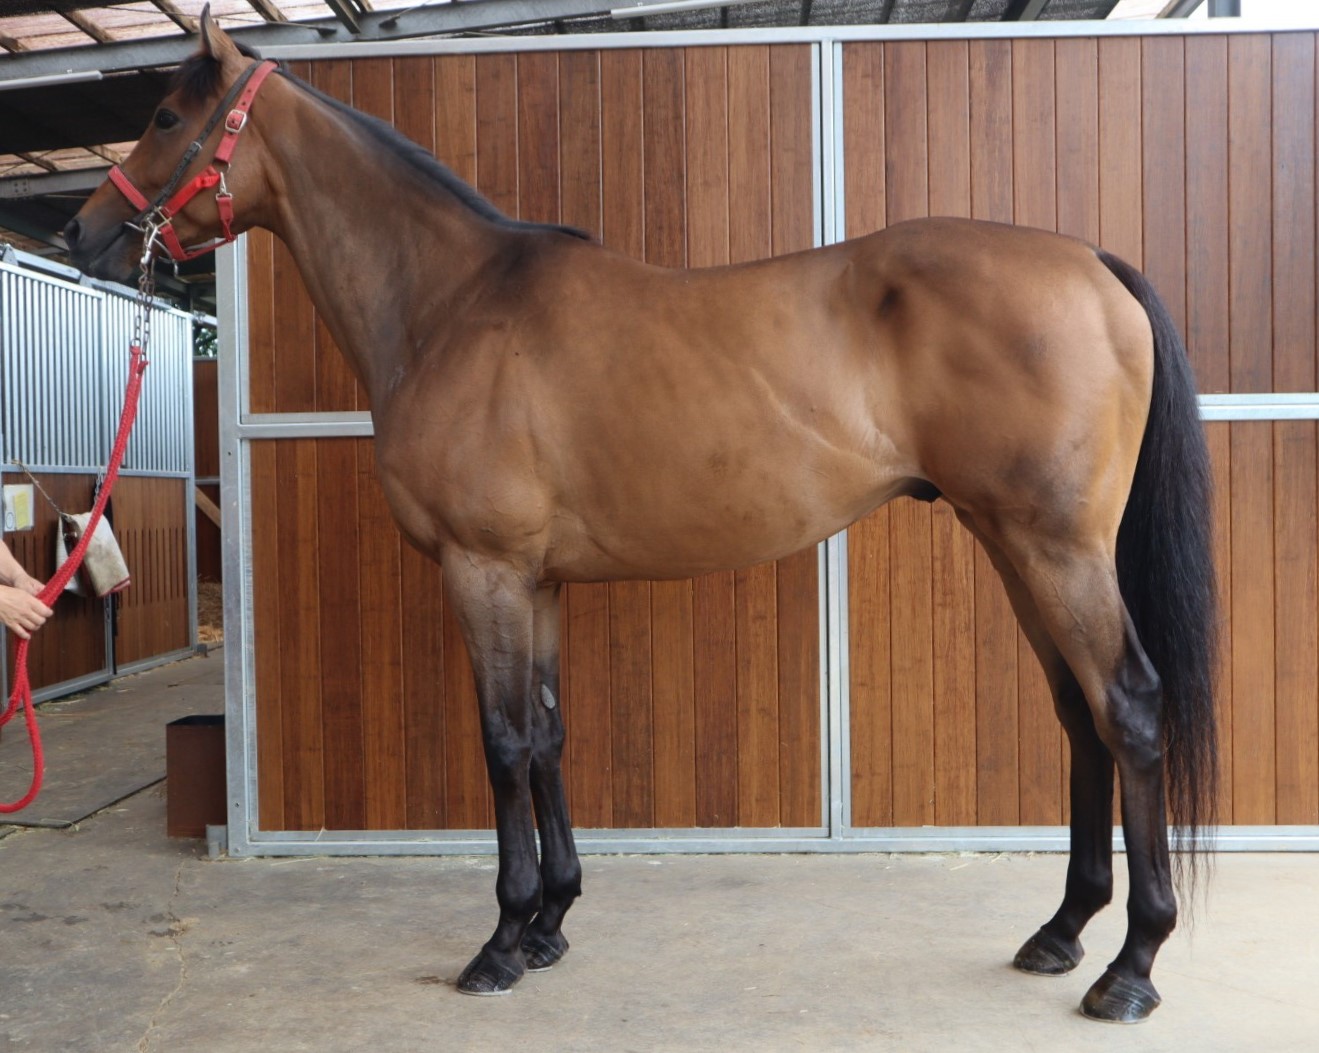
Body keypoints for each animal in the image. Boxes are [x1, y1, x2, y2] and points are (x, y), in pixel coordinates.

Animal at [65, 11, 1217, 1024]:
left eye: (166, 116)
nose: (84, 235)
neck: (452, 304)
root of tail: (1090, 263)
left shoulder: (482, 569)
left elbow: (501, 742)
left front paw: (500, 942)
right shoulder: (535, 580)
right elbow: (547, 734)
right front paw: (551, 924)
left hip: (1055, 548)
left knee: (1128, 706)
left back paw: (1129, 967)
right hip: (1014, 544)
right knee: (1076, 713)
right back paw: (1060, 930)